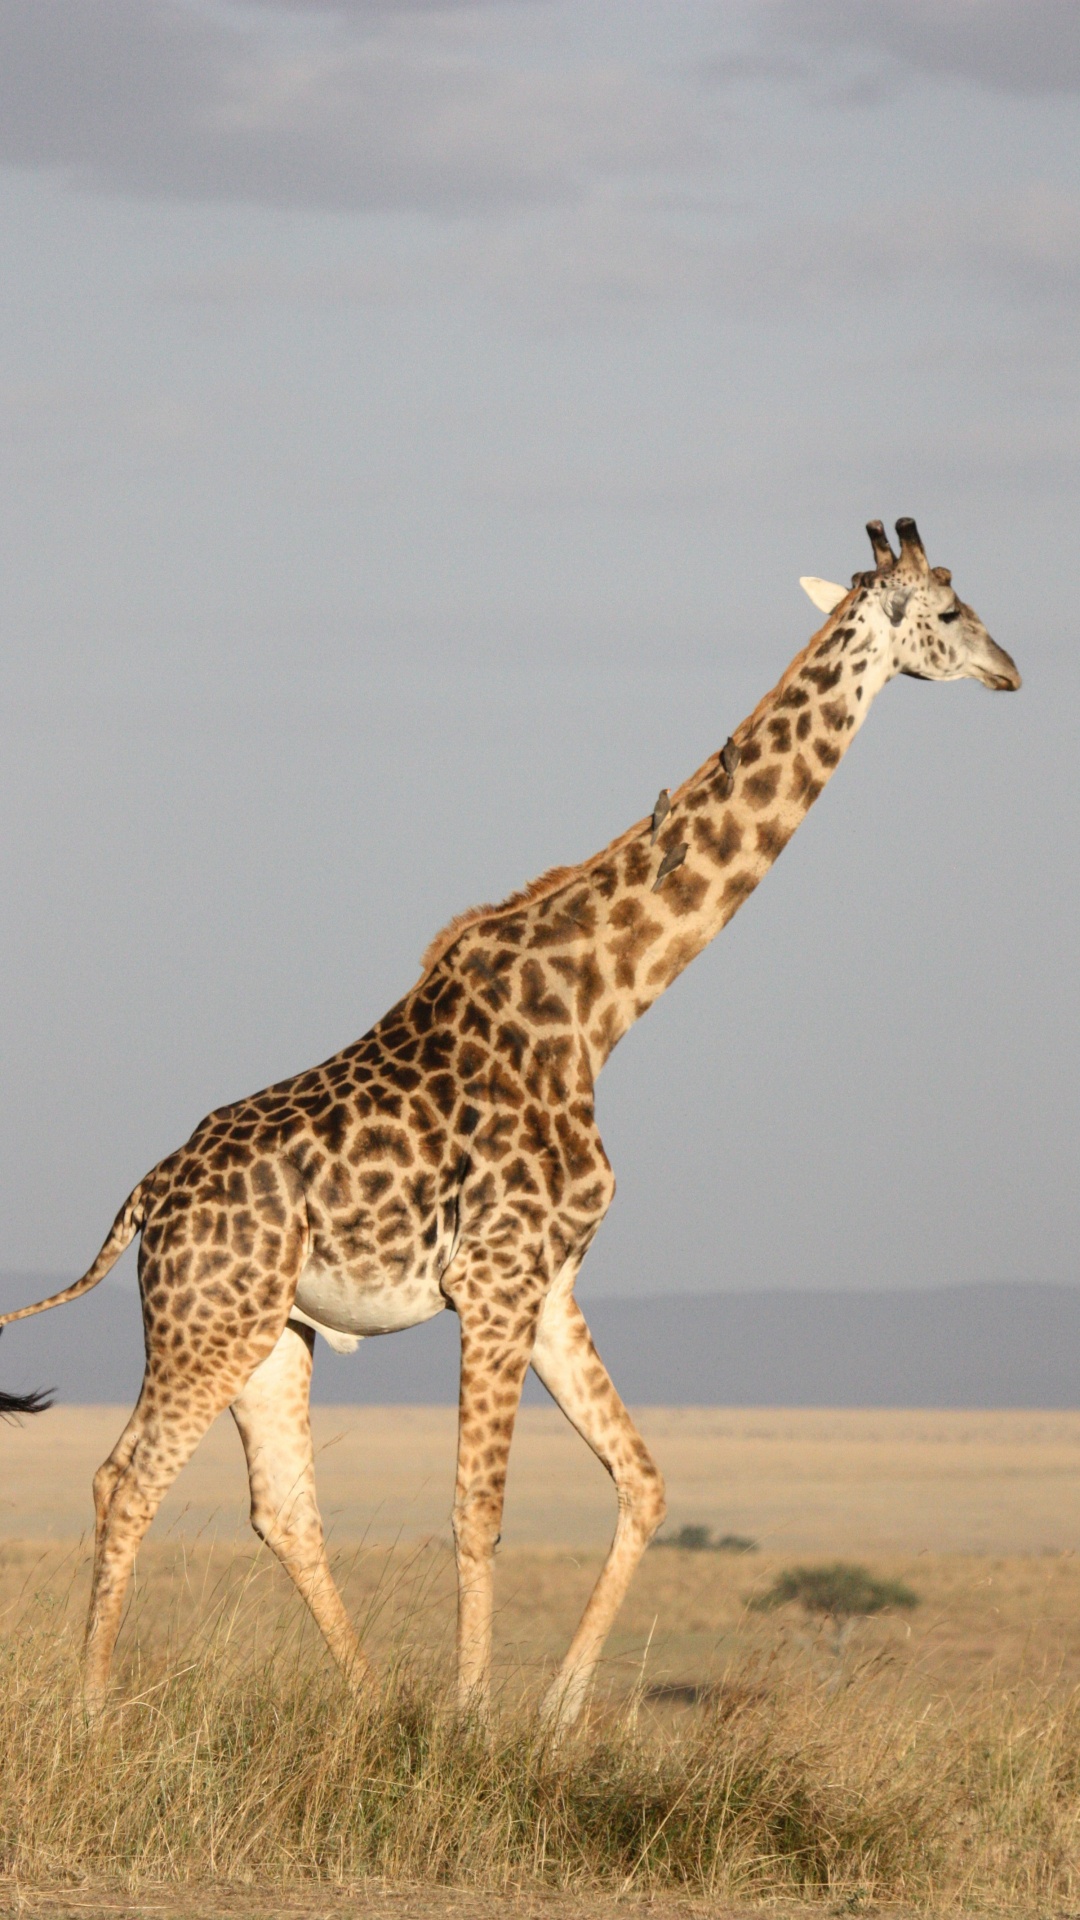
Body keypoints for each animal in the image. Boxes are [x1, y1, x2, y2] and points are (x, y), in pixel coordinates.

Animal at [1, 519, 1019, 1727]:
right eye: (950, 613)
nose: (1012, 670)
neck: (601, 1006)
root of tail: (144, 1201)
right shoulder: (492, 1277)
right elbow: (476, 1510)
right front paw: (472, 1718)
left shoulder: (551, 1279)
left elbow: (643, 1480)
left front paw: (557, 1714)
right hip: (207, 1321)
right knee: (126, 1478)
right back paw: (93, 1710)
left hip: (272, 1332)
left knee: (281, 1505)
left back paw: (369, 1701)